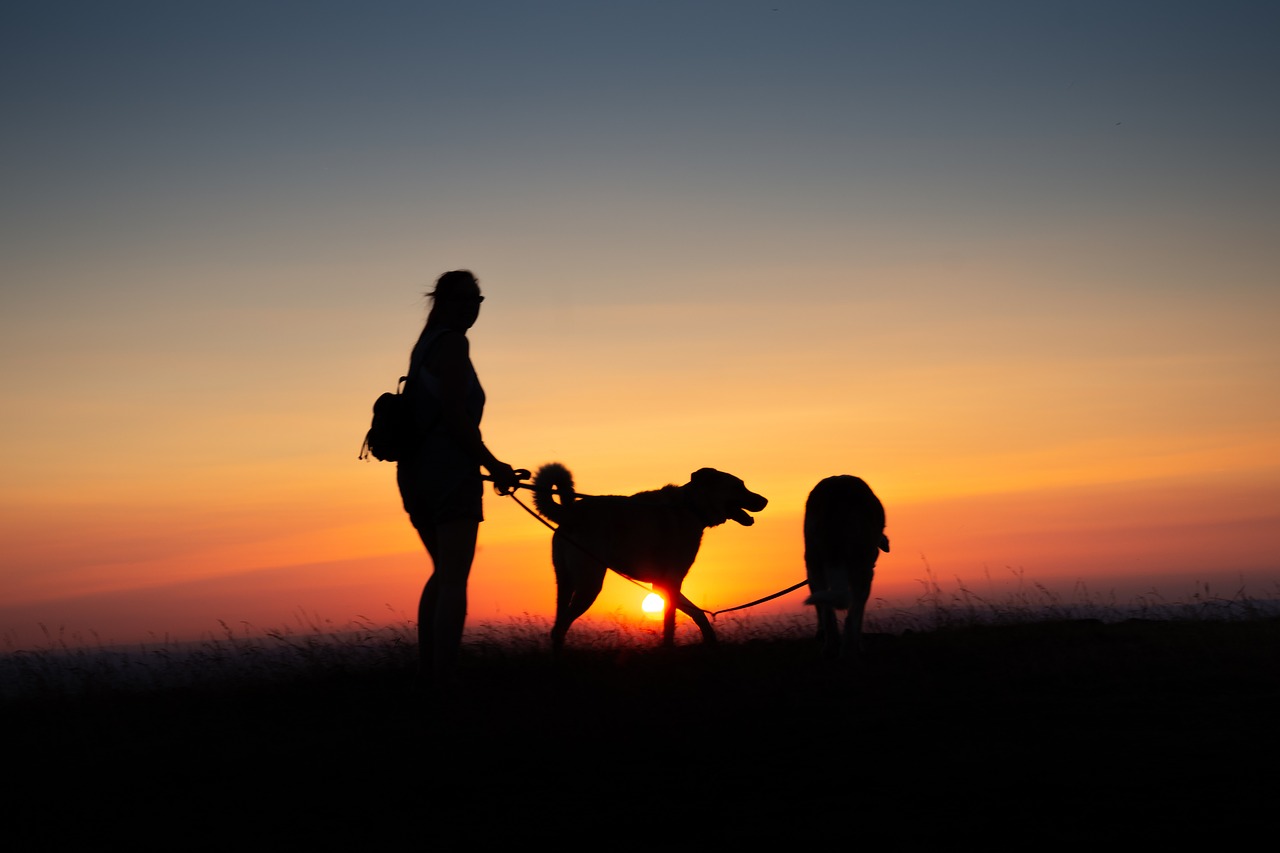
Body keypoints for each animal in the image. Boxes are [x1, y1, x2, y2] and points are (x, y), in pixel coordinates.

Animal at [532, 461, 768, 648]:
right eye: (739, 486)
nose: (765, 500)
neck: (691, 507)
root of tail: (570, 513)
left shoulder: (663, 585)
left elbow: (698, 614)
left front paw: (711, 641)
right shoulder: (672, 581)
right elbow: (669, 626)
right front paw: (668, 651)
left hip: (566, 583)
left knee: (558, 626)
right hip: (589, 585)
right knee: (561, 627)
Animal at [798, 473, 890, 653]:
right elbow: (856, 613)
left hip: (813, 562)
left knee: (826, 609)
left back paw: (831, 646)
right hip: (862, 565)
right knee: (855, 608)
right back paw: (850, 646)